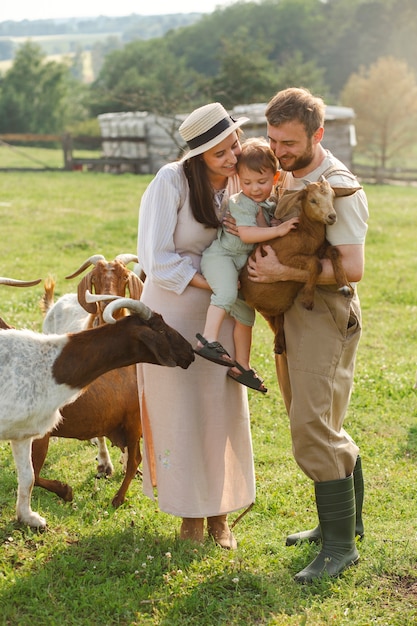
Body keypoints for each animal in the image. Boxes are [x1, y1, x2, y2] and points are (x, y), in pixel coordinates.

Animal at [0, 298, 195, 528]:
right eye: (162, 330)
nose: (190, 352)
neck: (50, 366)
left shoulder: (26, 433)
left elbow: (29, 476)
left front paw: (32, 515)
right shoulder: (28, 433)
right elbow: (30, 475)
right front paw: (53, 500)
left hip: (131, 423)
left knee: (134, 459)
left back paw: (118, 496)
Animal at [239, 178, 360, 354]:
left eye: (333, 197)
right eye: (313, 200)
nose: (332, 216)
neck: (305, 233)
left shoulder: (320, 250)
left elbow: (334, 251)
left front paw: (345, 287)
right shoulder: (284, 257)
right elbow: (316, 264)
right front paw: (308, 299)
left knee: (278, 321)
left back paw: (279, 345)